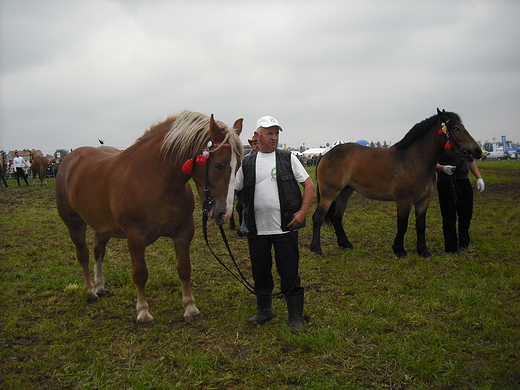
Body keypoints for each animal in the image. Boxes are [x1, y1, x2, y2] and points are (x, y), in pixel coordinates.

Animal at [55, 110, 243, 326]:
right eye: (219, 165)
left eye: (239, 165)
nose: (224, 213)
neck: (156, 178)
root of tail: (70, 159)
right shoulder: (135, 238)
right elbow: (140, 274)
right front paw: (143, 313)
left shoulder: (184, 232)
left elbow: (184, 269)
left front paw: (190, 308)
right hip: (74, 223)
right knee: (83, 254)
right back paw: (90, 291)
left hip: (103, 226)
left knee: (98, 252)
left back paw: (100, 287)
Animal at [308, 109, 484, 258]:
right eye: (456, 128)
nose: (477, 151)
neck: (413, 160)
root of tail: (325, 155)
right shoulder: (404, 200)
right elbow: (402, 224)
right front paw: (399, 250)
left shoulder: (423, 200)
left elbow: (421, 225)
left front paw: (424, 251)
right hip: (329, 193)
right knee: (318, 217)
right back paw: (316, 248)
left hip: (345, 192)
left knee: (337, 217)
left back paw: (345, 244)